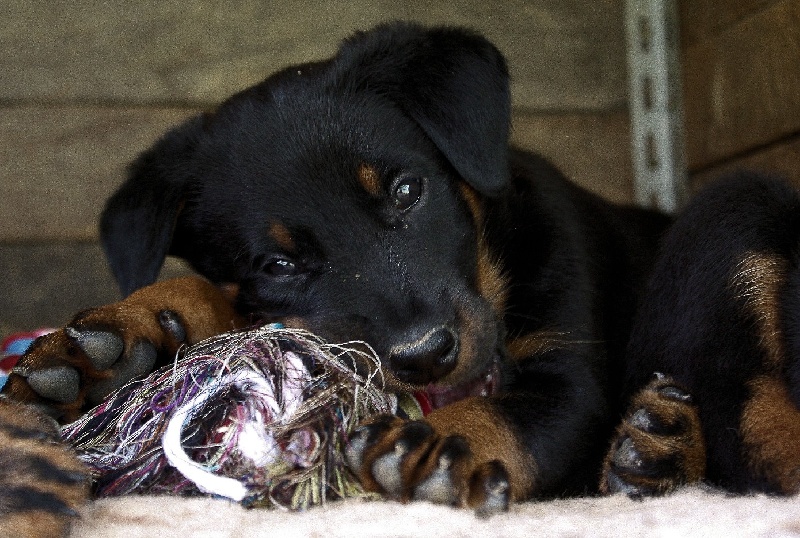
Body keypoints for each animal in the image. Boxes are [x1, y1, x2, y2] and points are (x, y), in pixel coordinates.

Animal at [6, 23, 800, 520]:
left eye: (406, 189)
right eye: (278, 263)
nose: (425, 355)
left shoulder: (573, 375)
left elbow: (509, 411)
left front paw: (438, 445)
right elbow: (220, 301)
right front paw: (118, 335)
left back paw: (661, 445)